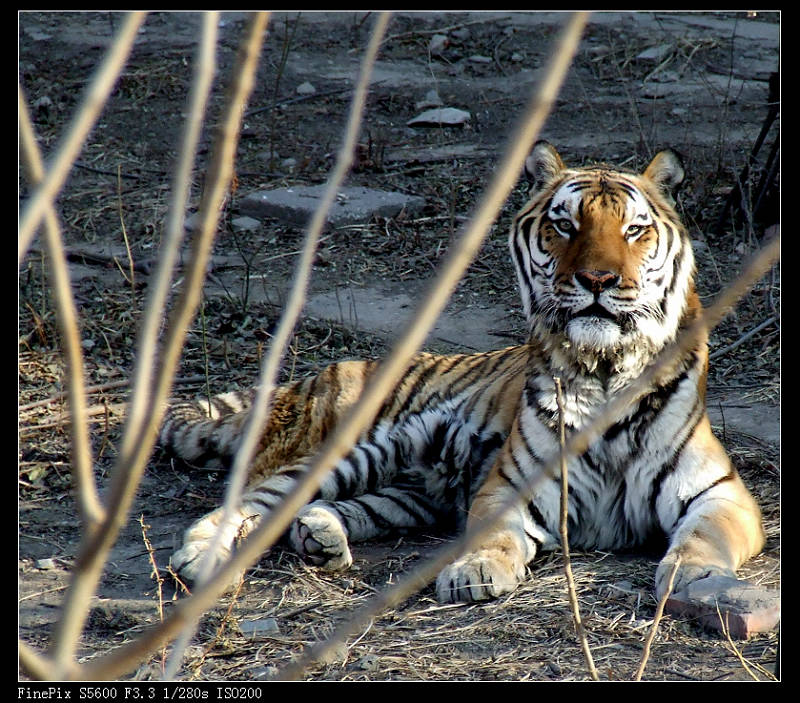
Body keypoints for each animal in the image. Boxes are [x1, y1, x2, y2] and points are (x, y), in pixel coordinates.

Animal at [159, 142, 764, 604]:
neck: (604, 369)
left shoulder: (723, 494)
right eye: (564, 225)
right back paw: (201, 559)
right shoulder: (509, 486)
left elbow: (703, 537)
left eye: (635, 230)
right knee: (255, 500)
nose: (597, 280)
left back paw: (321, 537)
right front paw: (476, 572)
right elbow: (494, 537)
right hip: (349, 448)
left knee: (333, 508)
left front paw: (695, 576)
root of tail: (325, 372)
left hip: (408, 490)